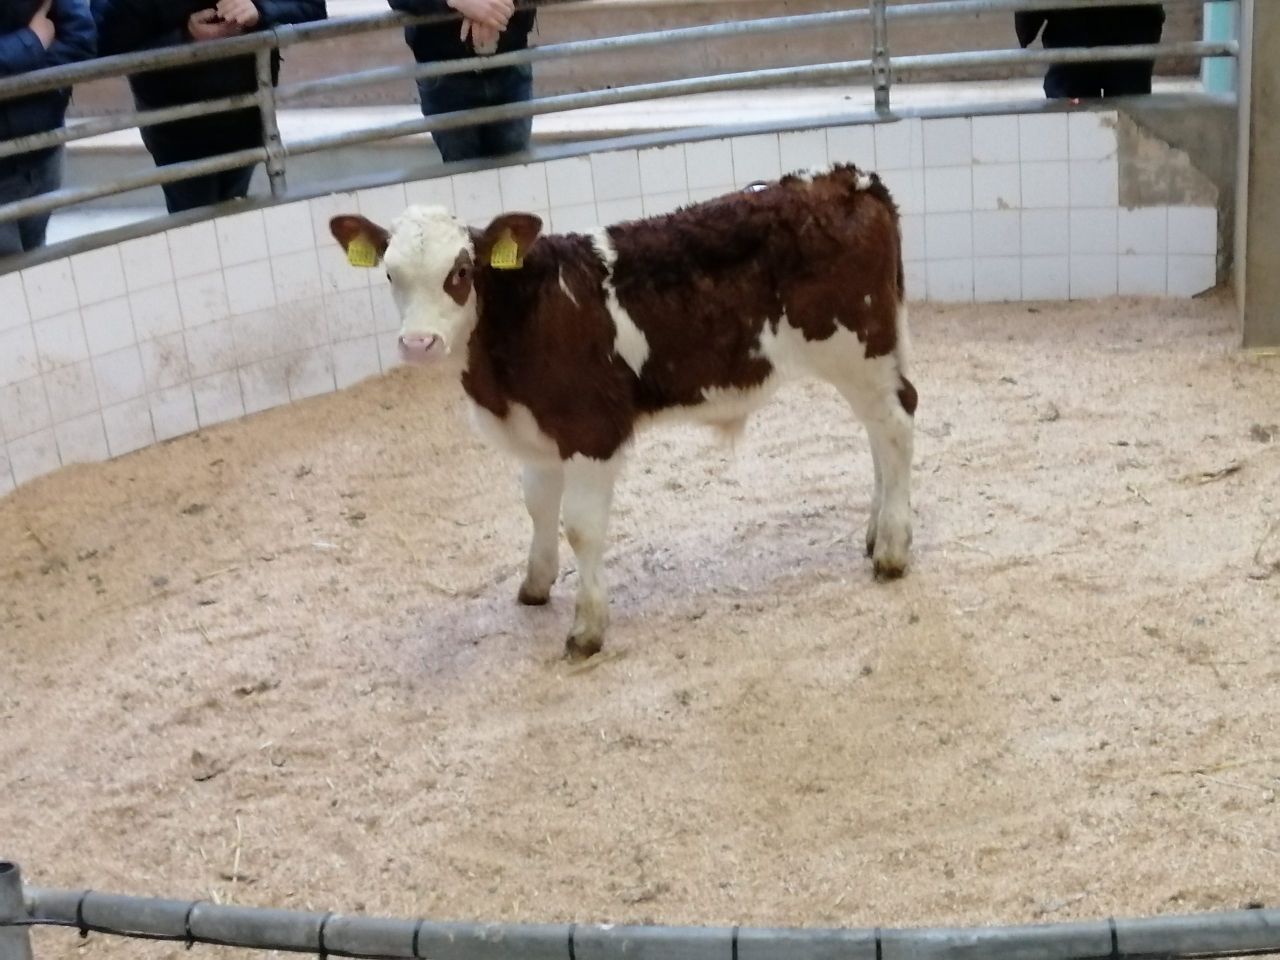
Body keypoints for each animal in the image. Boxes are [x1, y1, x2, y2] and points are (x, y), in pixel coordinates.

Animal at [329, 162, 917, 659]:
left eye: (460, 272)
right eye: (390, 275)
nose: (418, 343)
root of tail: (846, 180)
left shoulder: (591, 429)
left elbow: (581, 527)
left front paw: (587, 629)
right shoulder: (538, 436)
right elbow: (537, 507)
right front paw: (535, 584)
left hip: (857, 348)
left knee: (896, 424)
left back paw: (892, 550)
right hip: (868, 359)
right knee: (879, 434)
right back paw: (879, 531)